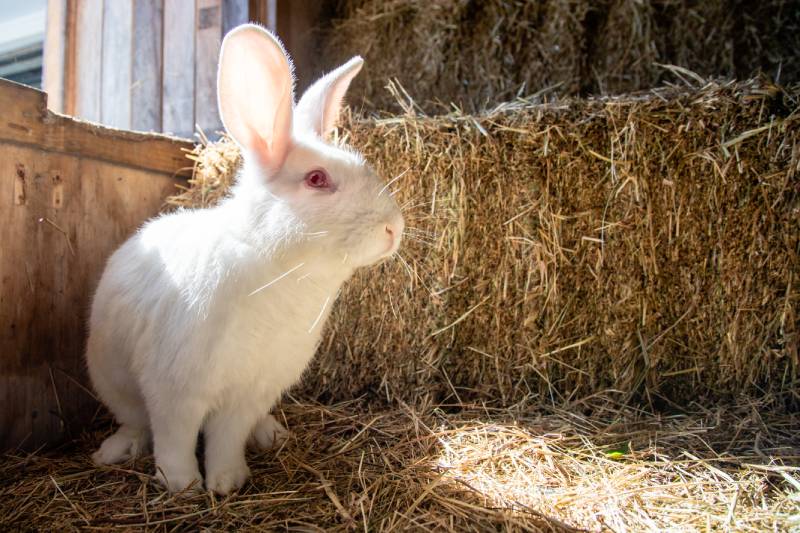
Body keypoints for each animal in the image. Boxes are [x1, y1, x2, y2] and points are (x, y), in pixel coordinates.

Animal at [85, 23, 404, 495]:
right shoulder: (175, 388)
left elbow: (226, 438)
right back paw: (115, 451)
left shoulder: (248, 393)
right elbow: (175, 437)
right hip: (112, 380)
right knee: (137, 422)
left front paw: (226, 481)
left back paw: (269, 433)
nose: (394, 228)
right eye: (317, 179)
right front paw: (182, 484)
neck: (277, 267)